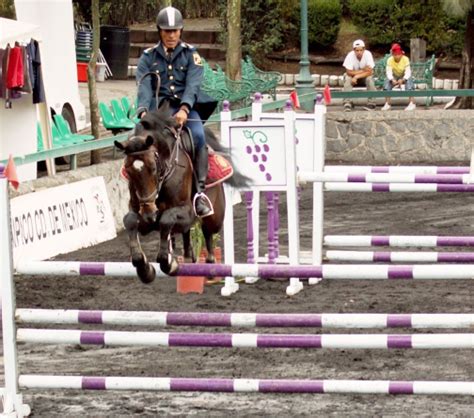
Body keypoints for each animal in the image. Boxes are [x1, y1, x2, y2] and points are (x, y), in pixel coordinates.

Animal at [115, 104, 248, 284]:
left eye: (153, 167)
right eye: (128, 171)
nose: (149, 213)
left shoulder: (186, 211)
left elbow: (166, 220)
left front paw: (169, 263)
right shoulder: (141, 216)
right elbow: (130, 221)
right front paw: (145, 269)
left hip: (214, 217)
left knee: (207, 232)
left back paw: (210, 265)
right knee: (187, 233)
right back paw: (188, 257)